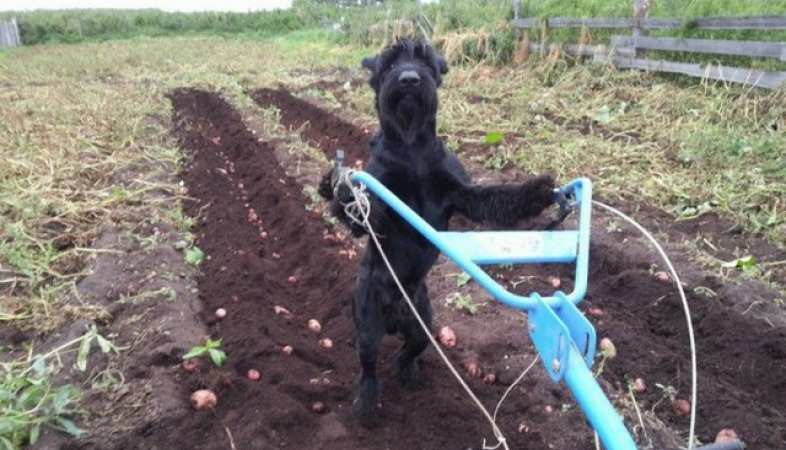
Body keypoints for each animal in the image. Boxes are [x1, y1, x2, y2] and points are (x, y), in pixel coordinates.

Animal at [316, 39, 556, 426]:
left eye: (426, 62)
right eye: (389, 63)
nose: (410, 80)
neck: (411, 145)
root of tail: (396, 317)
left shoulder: (462, 194)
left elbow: (497, 197)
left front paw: (536, 192)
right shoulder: (382, 204)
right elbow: (363, 214)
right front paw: (338, 190)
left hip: (423, 323)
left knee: (409, 350)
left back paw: (408, 372)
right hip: (367, 324)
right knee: (369, 367)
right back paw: (366, 405)